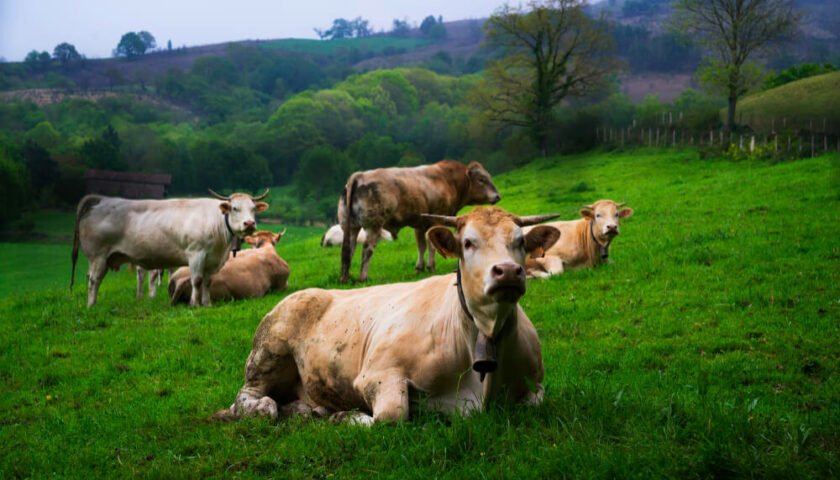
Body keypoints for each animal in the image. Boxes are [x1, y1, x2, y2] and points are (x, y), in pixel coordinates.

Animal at [70, 189, 269, 307]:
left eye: (253, 209)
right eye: (235, 208)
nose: (249, 223)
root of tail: (100, 200)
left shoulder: (212, 260)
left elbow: (207, 282)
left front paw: (207, 304)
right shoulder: (196, 254)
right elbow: (197, 280)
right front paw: (194, 304)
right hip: (98, 256)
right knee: (94, 280)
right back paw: (91, 305)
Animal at [214, 207, 561, 425]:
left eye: (520, 241)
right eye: (467, 243)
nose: (508, 271)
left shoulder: (537, 385)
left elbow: (538, 401)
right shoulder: (377, 374)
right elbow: (392, 415)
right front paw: (345, 415)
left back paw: (303, 409)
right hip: (268, 353)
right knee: (250, 400)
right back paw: (270, 407)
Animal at [339, 160, 501, 283]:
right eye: (481, 179)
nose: (497, 196)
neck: (448, 180)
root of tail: (360, 175)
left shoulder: (420, 224)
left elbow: (421, 246)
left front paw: (419, 267)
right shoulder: (436, 220)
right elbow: (431, 246)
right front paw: (431, 266)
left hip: (351, 227)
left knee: (348, 249)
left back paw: (345, 278)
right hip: (374, 226)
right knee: (367, 249)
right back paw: (363, 277)